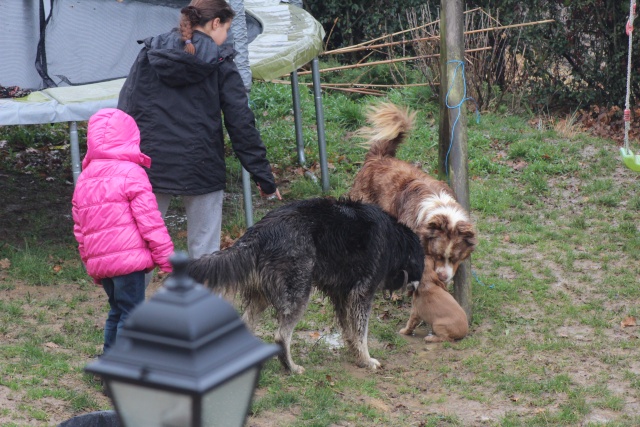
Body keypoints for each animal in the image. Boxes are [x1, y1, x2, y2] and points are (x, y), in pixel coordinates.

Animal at [186, 198, 424, 374]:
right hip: (299, 295)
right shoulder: (361, 294)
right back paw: (291, 368)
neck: (396, 241)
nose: (417, 290)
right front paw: (366, 360)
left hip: (263, 297)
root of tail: (260, 232)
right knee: (281, 337)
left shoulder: (342, 295)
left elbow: (349, 330)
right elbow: (361, 333)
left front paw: (354, 353)